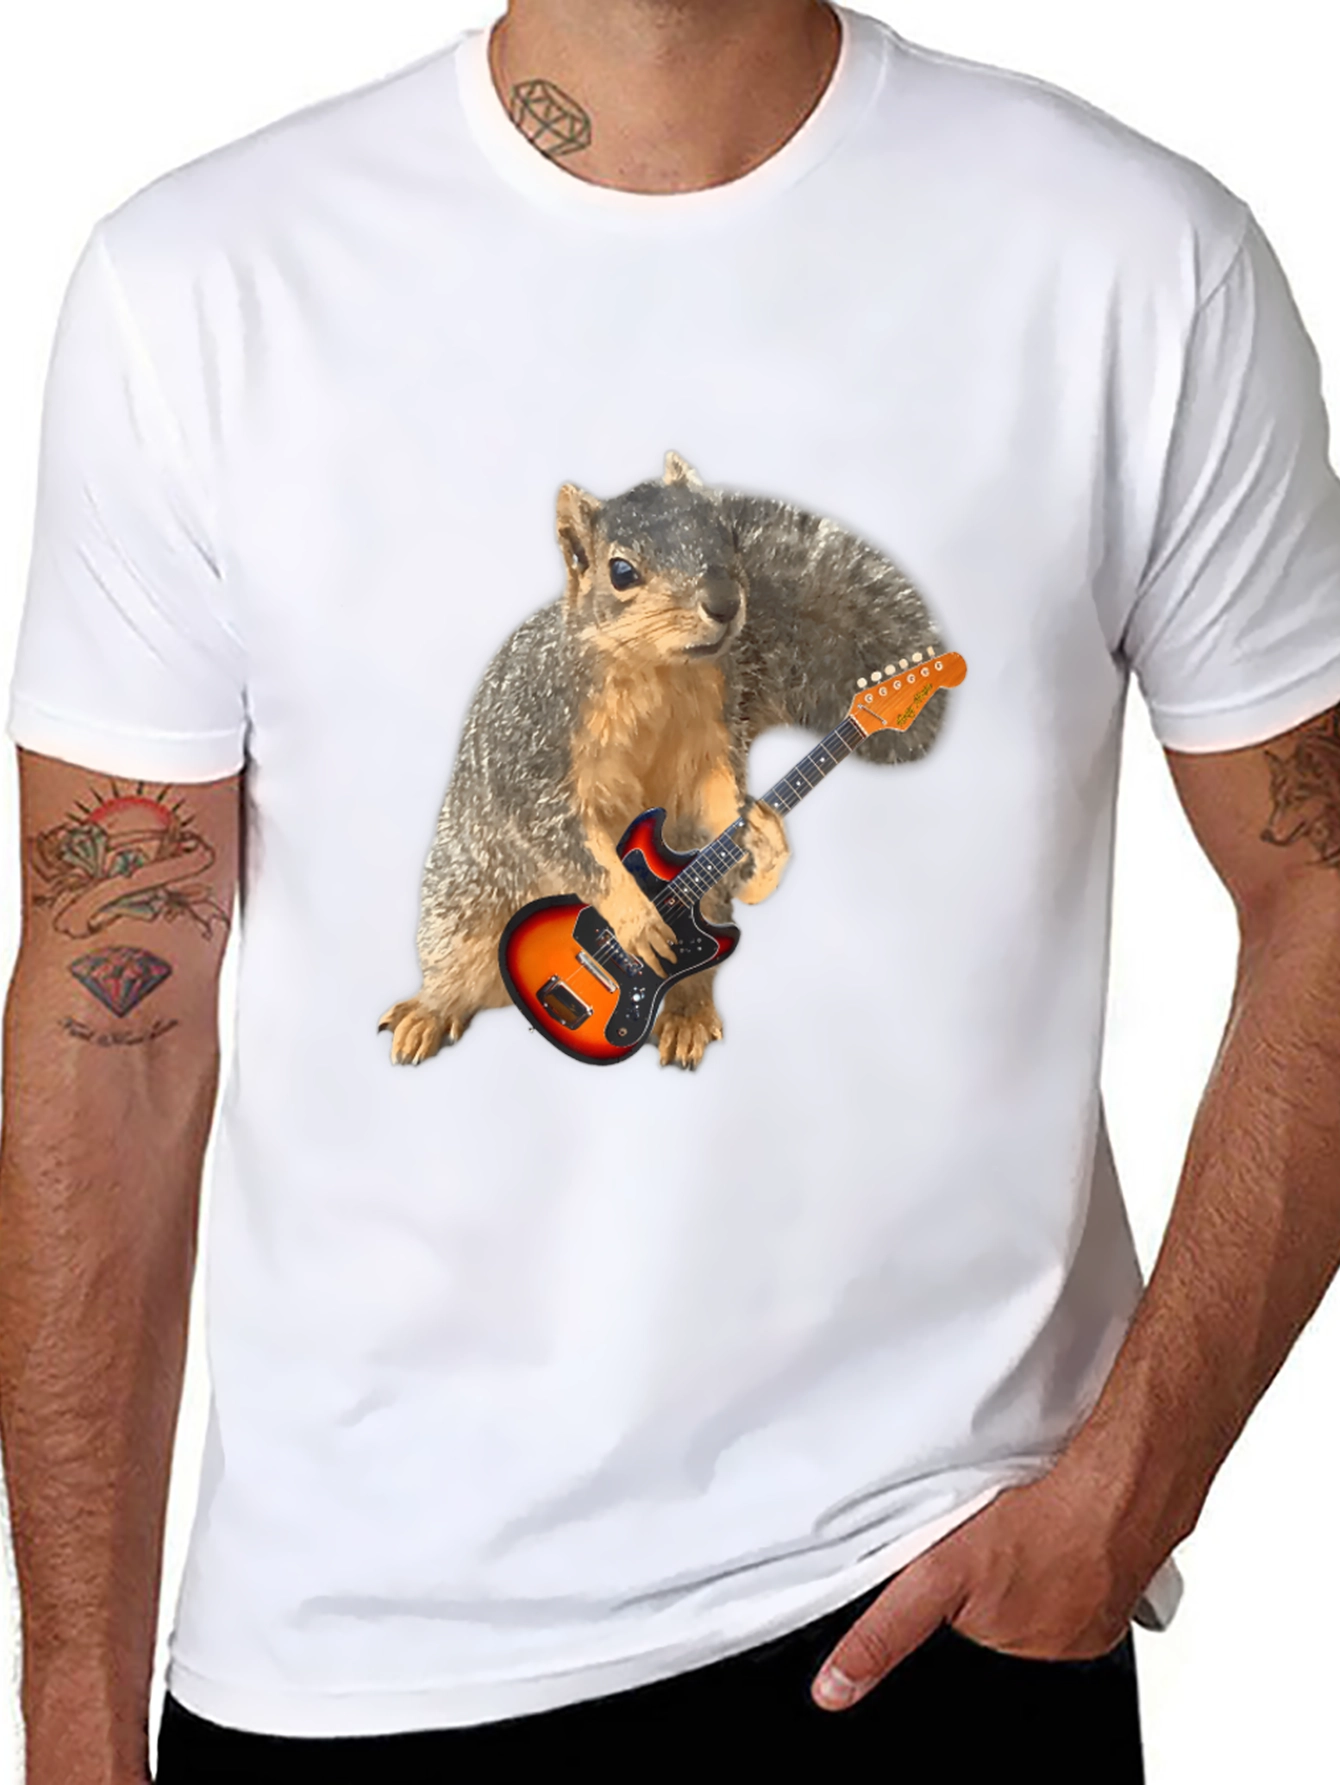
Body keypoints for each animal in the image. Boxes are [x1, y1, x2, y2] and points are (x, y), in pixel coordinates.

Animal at [378, 450, 952, 1070]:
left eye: (729, 537)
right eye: (621, 571)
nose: (725, 604)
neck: (656, 670)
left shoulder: (714, 733)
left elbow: (719, 796)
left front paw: (765, 842)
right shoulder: (533, 739)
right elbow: (560, 833)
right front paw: (632, 915)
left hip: (712, 906)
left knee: (699, 964)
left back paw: (686, 1014)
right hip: (460, 907)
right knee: (455, 968)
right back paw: (427, 1012)